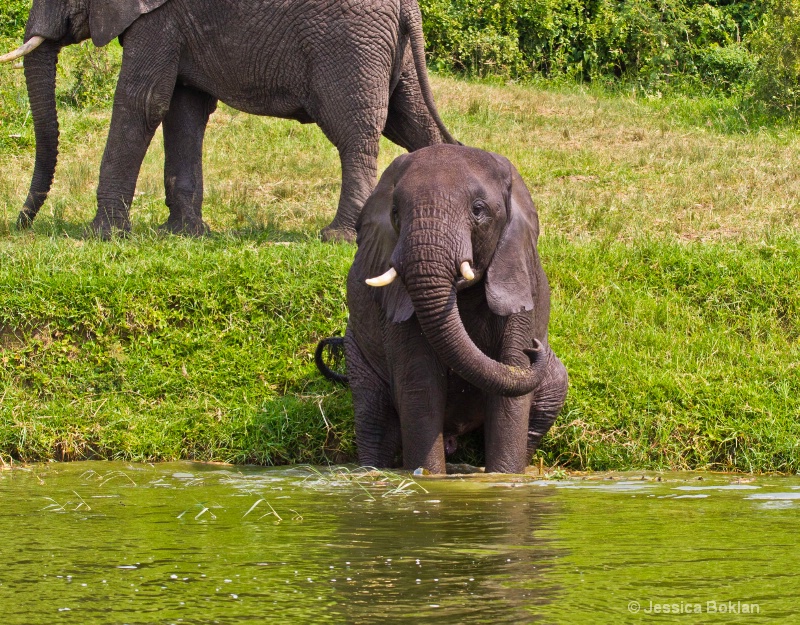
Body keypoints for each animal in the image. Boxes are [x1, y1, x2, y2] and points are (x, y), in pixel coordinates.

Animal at [0, 0, 456, 240]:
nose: (20, 225)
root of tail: (411, 7)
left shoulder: (158, 18)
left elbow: (141, 102)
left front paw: (102, 236)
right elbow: (183, 111)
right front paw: (182, 233)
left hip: (349, 44)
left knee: (355, 134)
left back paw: (338, 237)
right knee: (414, 122)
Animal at [342, 145, 568, 472]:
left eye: (478, 209)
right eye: (395, 213)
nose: (536, 347)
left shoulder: (517, 281)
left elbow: (511, 393)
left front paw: (501, 478)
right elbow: (420, 388)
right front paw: (428, 477)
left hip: (553, 381)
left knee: (550, 393)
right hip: (357, 354)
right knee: (374, 417)